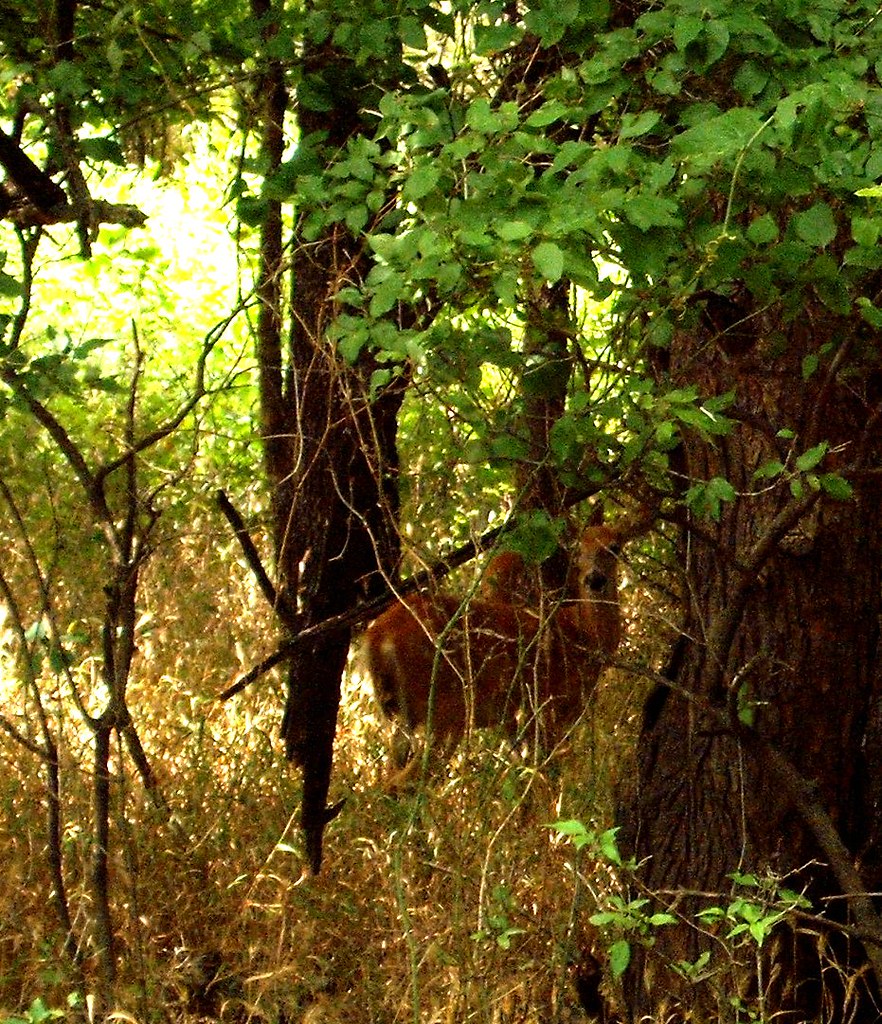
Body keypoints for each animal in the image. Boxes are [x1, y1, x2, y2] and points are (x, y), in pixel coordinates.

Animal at [361, 511, 626, 775]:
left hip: (403, 718)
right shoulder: (543, 706)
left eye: (614, 547)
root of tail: (375, 638)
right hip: (446, 708)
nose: (594, 579)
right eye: (576, 549)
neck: (586, 636)